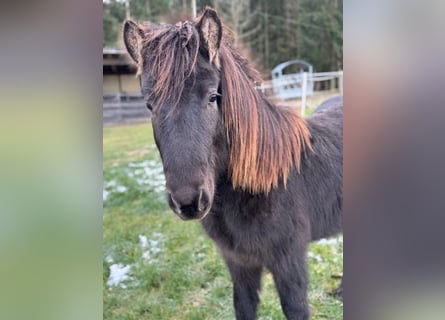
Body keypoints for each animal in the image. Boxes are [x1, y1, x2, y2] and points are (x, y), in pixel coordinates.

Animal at [123, 7, 342, 320]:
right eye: (149, 105)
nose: (188, 202)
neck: (264, 182)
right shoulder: (239, 264)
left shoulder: (290, 264)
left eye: (213, 96)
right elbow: (244, 306)